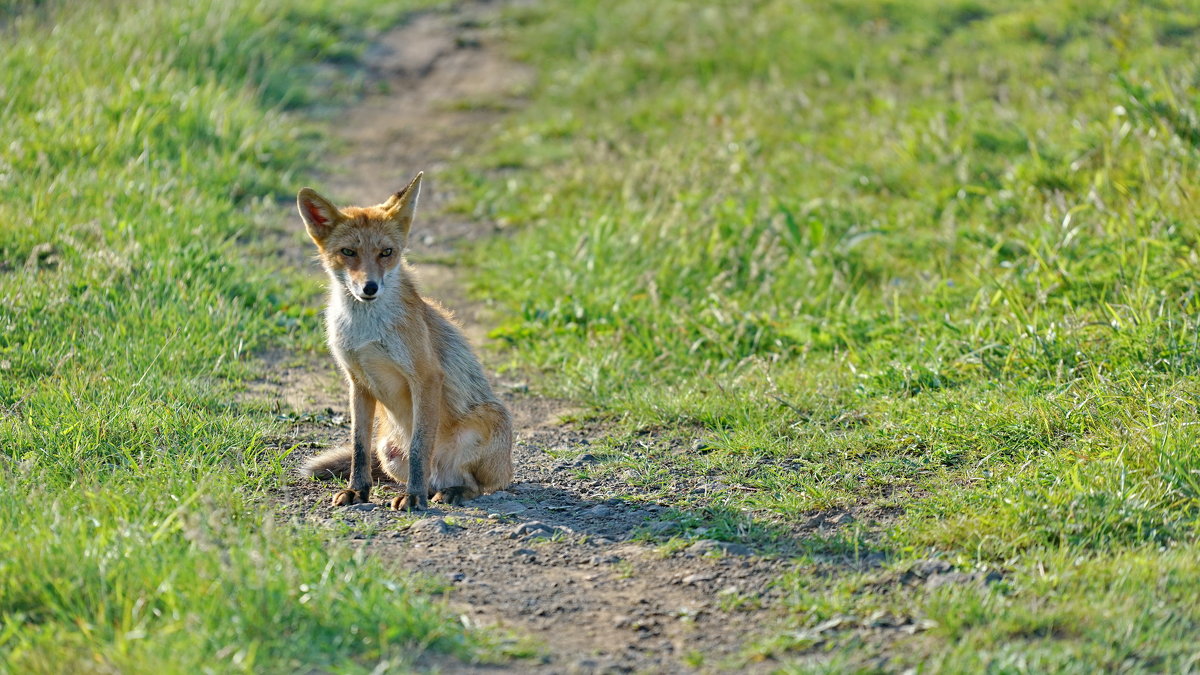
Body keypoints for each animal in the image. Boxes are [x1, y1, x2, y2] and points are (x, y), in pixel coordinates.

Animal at [297, 170, 513, 506]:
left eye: (386, 252)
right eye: (348, 252)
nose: (370, 288)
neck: (366, 332)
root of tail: (440, 475)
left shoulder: (426, 377)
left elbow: (419, 447)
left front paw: (413, 498)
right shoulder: (357, 382)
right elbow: (359, 447)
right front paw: (358, 490)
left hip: (488, 422)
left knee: (478, 485)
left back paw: (447, 492)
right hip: (387, 451)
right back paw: (431, 489)